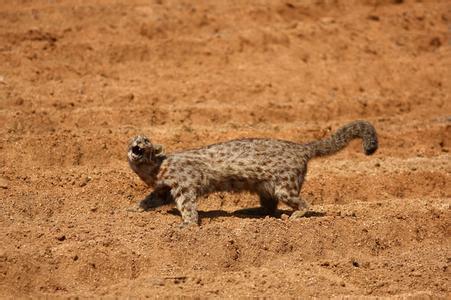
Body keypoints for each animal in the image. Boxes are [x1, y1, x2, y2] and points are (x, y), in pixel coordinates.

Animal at [126, 120, 378, 226]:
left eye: (147, 141)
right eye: (134, 139)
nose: (139, 141)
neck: (156, 171)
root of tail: (302, 147)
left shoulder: (184, 187)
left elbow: (188, 208)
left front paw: (187, 224)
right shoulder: (163, 190)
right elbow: (147, 201)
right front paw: (131, 209)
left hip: (285, 188)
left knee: (304, 204)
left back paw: (295, 216)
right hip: (266, 189)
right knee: (269, 207)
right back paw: (251, 211)